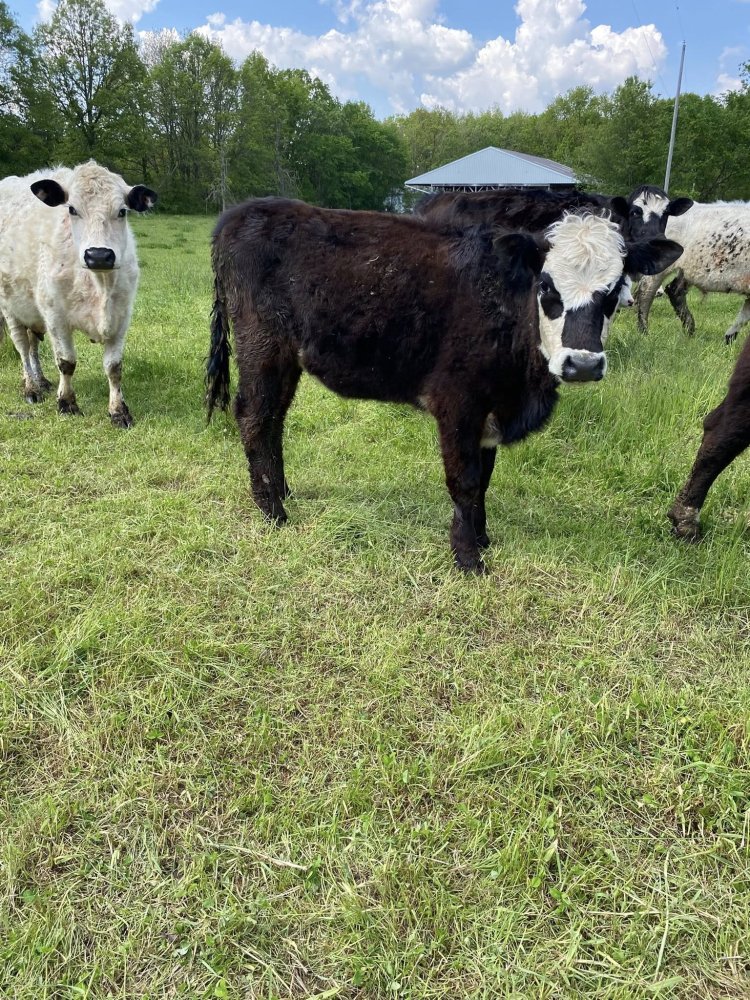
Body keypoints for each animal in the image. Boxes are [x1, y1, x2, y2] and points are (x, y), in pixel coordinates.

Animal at [0, 160, 157, 427]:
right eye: (72, 209)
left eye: (122, 211)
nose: (99, 255)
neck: (99, 284)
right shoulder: (55, 316)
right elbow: (66, 362)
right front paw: (67, 403)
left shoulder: (122, 315)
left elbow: (114, 367)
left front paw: (118, 410)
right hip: (10, 308)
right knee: (22, 347)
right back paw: (31, 388)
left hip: (33, 313)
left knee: (32, 347)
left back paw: (41, 380)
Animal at [206, 197, 682, 572]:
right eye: (547, 286)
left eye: (613, 290)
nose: (582, 364)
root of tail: (243, 212)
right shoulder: (459, 404)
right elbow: (465, 480)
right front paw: (468, 557)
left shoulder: (489, 410)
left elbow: (485, 478)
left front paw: (482, 538)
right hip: (263, 347)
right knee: (254, 416)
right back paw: (272, 509)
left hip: (288, 358)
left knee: (274, 418)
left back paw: (281, 489)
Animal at [635, 201, 750, 344]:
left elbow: (745, 316)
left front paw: (729, 338)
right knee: (645, 292)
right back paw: (644, 333)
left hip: (688, 268)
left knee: (674, 290)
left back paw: (690, 330)